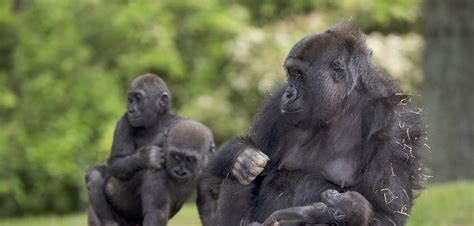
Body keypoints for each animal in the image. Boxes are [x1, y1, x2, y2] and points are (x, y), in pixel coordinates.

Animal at [209, 22, 428, 226]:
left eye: (299, 75)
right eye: (290, 74)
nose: (288, 93)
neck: (341, 105)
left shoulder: (395, 127)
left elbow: (386, 214)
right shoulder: (274, 109)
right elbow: (224, 171)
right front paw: (244, 157)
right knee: (237, 177)